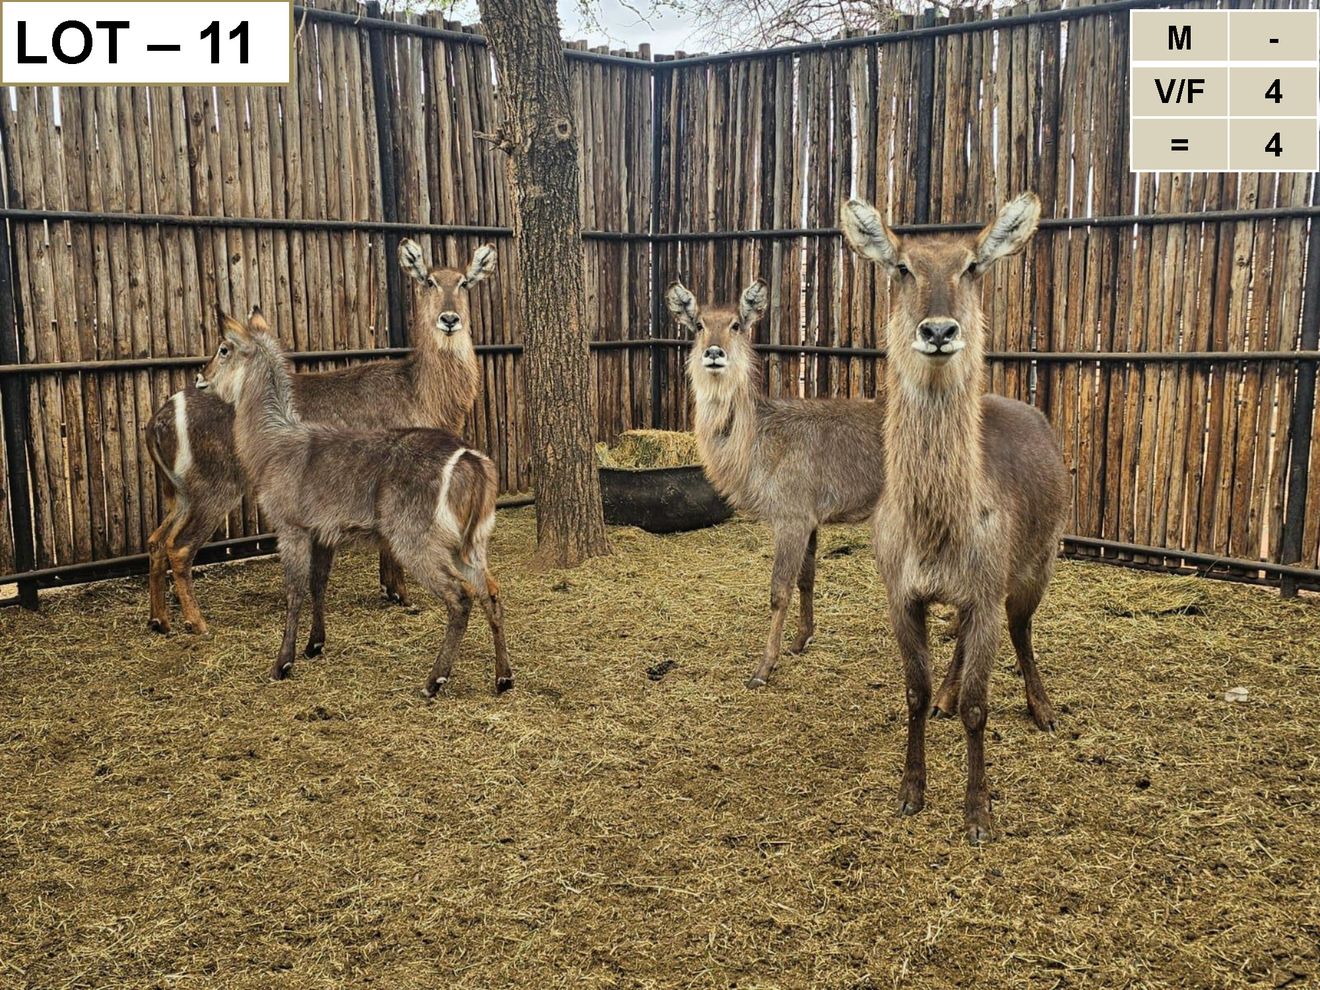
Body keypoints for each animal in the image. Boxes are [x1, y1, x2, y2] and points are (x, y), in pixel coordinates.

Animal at [146, 239, 494, 636]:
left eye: (464, 282)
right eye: (429, 281)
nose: (449, 319)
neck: (418, 390)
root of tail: (160, 416)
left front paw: (391, 591)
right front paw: (403, 596)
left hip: (179, 494)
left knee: (157, 541)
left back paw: (160, 621)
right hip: (215, 489)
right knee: (179, 548)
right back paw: (198, 623)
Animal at [195, 307, 512, 695]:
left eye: (223, 348)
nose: (201, 376)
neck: (272, 442)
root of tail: (469, 458)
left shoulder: (291, 528)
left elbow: (294, 590)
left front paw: (282, 662)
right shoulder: (323, 533)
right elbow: (318, 584)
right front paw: (315, 644)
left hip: (416, 542)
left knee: (460, 597)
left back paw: (434, 680)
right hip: (469, 545)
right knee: (491, 591)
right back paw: (503, 677)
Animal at [666, 279, 887, 689]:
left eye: (736, 324)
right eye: (699, 324)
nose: (714, 353)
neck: (757, 439)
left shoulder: (790, 517)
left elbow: (778, 591)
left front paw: (764, 668)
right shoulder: (810, 520)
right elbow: (806, 579)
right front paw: (802, 640)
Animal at [841, 192, 1068, 845]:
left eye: (972, 266)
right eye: (902, 267)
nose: (939, 330)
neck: (938, 530)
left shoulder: (987, 589)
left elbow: (978, 706)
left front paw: (978, 812)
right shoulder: (901, 592)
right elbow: (913, 693)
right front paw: (911, 791)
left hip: (1038, 564)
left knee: (1022, 631)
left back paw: (1043, 707)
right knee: (962, 646)